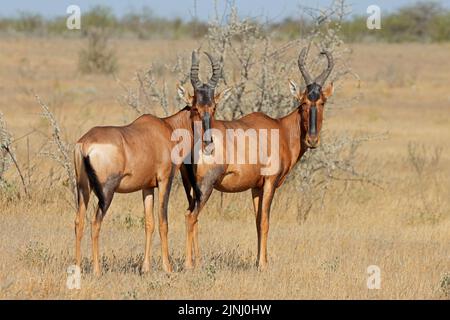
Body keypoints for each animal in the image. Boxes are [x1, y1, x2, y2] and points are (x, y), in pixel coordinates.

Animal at [74, 52, 229, 276]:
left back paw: (77, 268)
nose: (209, 144)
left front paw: (145, 268)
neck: (167, 127)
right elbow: (163, 221)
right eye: (195, 108)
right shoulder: (164, 180)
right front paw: (168, 267)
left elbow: (149, 223)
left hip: (82, 188)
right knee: (95, 222)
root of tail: (85, 143)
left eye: (213, 107)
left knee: (78, 222)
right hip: (106, 190)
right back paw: (97, 270)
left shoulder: (147, 187)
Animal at [179, 47, 334, 268]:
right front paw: (263, 265)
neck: (279, 128)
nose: (312, 140)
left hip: (191, 189)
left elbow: (257, 220)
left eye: (322, 101)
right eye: (303, 102)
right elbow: (265, 220)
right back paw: (189, 264)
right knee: (190, 217)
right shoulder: (270, 182)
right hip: (206, 186)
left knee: (193, 216)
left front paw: (260, 260)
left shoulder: (256, 187)